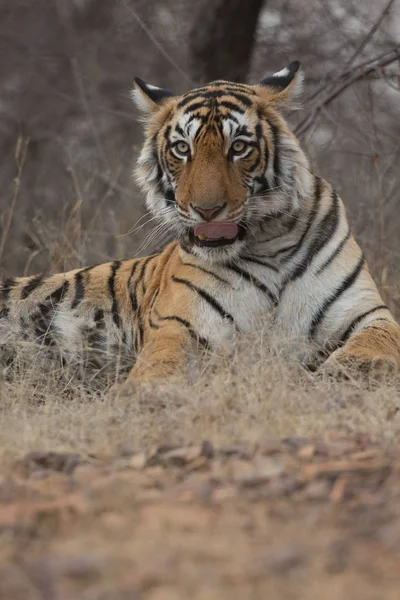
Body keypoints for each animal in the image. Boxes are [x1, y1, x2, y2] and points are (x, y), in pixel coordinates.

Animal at [0, 62, 400, 384]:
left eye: (238, 147)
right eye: (182, 149)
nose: (207, 210)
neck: (270, 245)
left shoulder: (368, 313)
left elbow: (379, 339)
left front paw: (347, 371)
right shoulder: (179, 325)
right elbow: (162, 363)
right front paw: (142, 393)